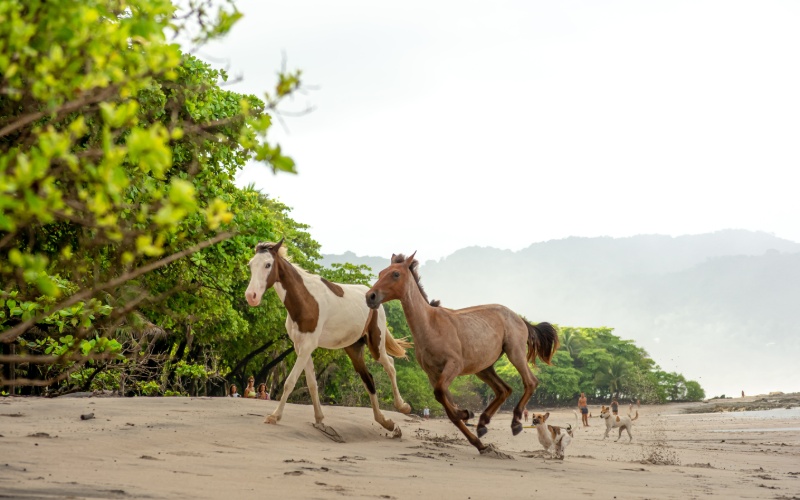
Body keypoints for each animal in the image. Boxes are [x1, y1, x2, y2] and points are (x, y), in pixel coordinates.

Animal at [244, 239, 410, 438]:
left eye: (268, 264)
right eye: (251, 265)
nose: (251, 296)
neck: (305, 299)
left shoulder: (307, 346)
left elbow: (290, 382)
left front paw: (274, 416)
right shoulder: (300, 346)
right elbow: (311, 383)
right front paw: (319, 418)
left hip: (375, 344)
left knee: (390, 365)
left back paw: (402, 407)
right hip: (354, 348)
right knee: (369, 379)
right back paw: (387, 423)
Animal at [368, 252, 560, 456]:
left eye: (395, 274)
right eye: (381, 273)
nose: (370, 296)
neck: (431, 325)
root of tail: (520, 319)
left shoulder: (453, 365)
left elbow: (443, 399)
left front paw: (467, 414)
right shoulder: (432, 374)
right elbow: (447, 406)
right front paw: (477, 438)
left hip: (514, 353)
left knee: (530, 382)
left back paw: (515, 423)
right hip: (483, 368)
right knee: (504, 389)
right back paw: (482, 424)